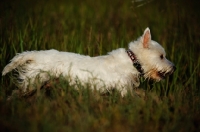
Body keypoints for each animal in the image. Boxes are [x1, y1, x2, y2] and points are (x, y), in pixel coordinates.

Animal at [2, 27, 176, 96]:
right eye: (161, 56)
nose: (174, 67)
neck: (132, 61)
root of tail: (35, 55)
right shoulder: (123, 88)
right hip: (33, 81)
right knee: (16, 93)